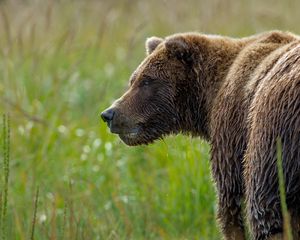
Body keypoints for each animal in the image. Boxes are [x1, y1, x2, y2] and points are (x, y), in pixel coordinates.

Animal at [100, 31, 300, 239]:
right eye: (133, 80)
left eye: (146, 80)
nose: (109, 114)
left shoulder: (233, 131)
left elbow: (230, 200)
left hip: (274, 139)